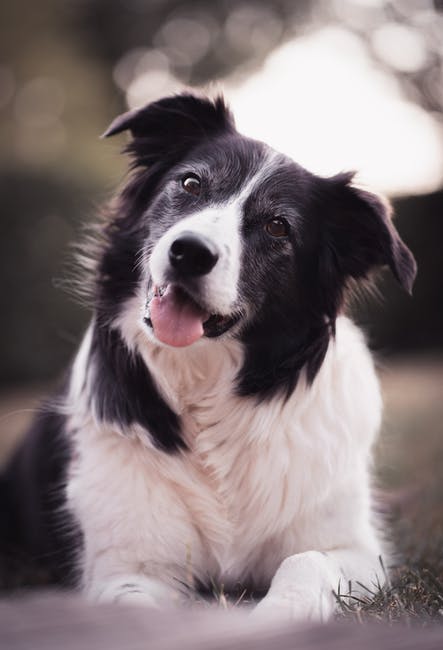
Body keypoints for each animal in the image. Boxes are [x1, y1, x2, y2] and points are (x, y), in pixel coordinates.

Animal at [1, 91, 418, 616]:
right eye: (191, 183)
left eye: (278, 227)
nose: (190, 252)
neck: (204, 383)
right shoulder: (129, 569)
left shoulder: (357, 551)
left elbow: (304, 561)